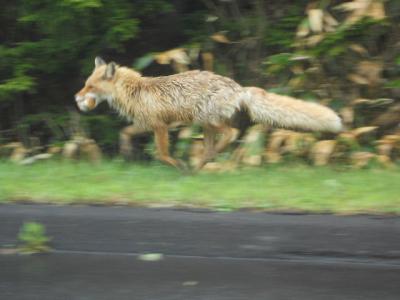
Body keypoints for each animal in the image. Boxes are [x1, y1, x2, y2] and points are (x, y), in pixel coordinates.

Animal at [75, 56, 340, 169]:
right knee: (215, 145)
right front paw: (126, 152)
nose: (77, 98)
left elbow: (163, 154)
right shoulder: (147, 124)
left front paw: (177, 164)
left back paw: (199, 165)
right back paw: (202, 164)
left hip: (207, 120)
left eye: (90, 87)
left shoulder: (160, 126)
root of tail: (238, 87)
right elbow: (124, 134)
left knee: (231, 134)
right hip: (205, 126)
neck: (134, 91)